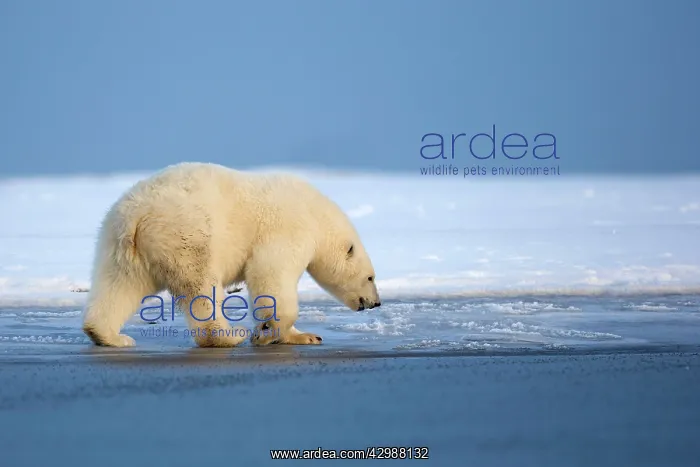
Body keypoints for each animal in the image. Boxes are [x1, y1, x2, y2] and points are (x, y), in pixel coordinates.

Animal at [81, 162, 381, 348]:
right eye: (370, 277)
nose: (375, 302)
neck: (316, 214)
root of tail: (136, 216)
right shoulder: (287, 229)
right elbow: (271, 274)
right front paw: (268, 333)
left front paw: (306, 336)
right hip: (187, 232)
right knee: (201, 286)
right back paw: (228, 336)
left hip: (119, 247)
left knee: (119, 286)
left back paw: (109, 335)